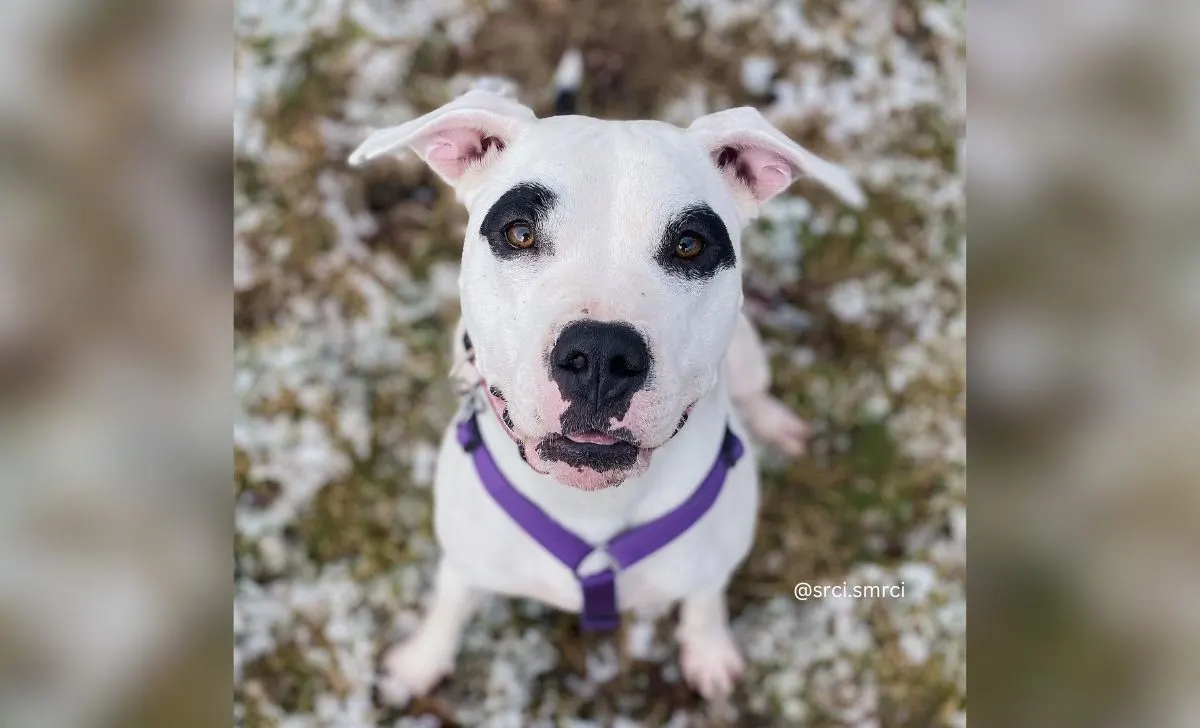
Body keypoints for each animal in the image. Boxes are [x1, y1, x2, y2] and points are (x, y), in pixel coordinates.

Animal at [348, 53, 864, 705]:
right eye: (520, 232)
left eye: (690, 245)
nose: (599, 356)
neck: (589, 503)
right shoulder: (465, 557)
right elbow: (450, 606)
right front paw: (420, 662)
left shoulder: (711, 561)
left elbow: (704, 602)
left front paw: (709, 652)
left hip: (748, 352)